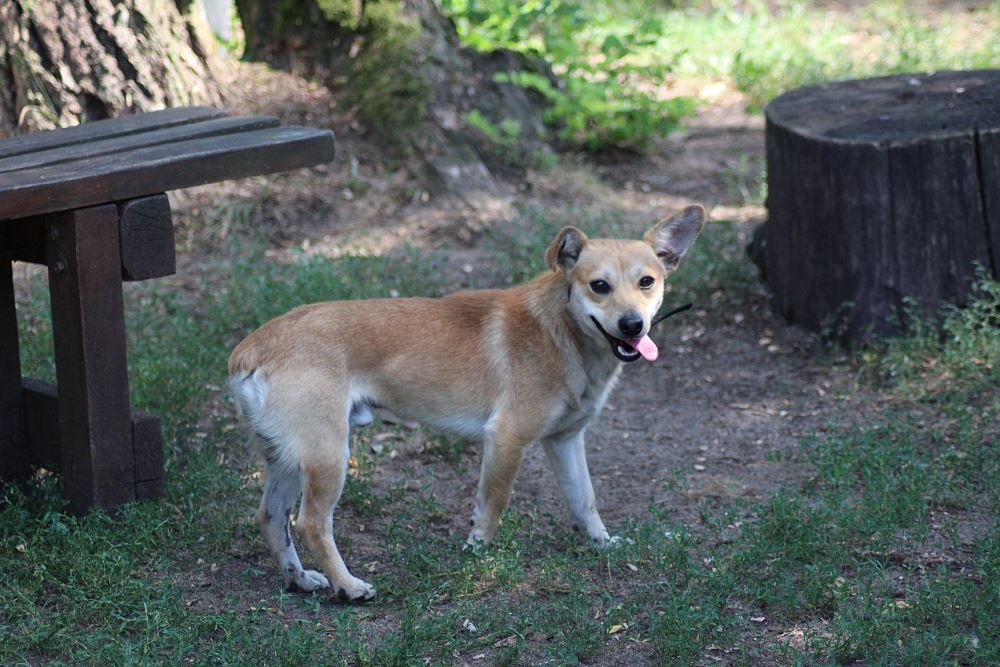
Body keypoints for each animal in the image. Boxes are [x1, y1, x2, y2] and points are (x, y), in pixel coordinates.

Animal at [228, 205, 706, 601]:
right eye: (599, 286)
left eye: (647, 282)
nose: (632, 325)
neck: (561, 331)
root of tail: (251, 349)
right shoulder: (507, 439)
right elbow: (493, 504)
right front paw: (479, 554)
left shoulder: (566, 441)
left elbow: (584, 501)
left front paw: (602, 545)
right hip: (327, 456)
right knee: (310, 523)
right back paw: (348, 585)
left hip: (288, 459)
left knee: (271, 517)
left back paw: (299, 579)